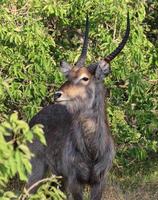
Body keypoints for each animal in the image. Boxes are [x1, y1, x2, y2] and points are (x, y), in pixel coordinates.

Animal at [27, 14, 130, 200]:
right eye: (69, 76)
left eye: (85, 78)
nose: (57, 94)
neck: (92, 152)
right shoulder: (75, 181)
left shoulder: (99, 182)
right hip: (37, 171)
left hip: (58, 178)